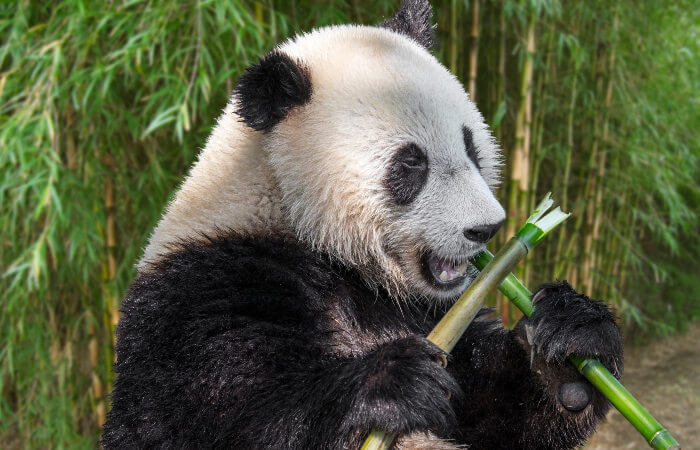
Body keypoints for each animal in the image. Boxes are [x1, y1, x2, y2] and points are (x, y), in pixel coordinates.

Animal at [102, 1, 623, 448]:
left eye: (472, 146)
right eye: (411, 164)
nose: (486, 229)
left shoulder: (436, 313)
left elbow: (499, 413)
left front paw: (570, 347)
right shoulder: (206, 288)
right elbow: (231, 413)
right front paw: (394, 384)